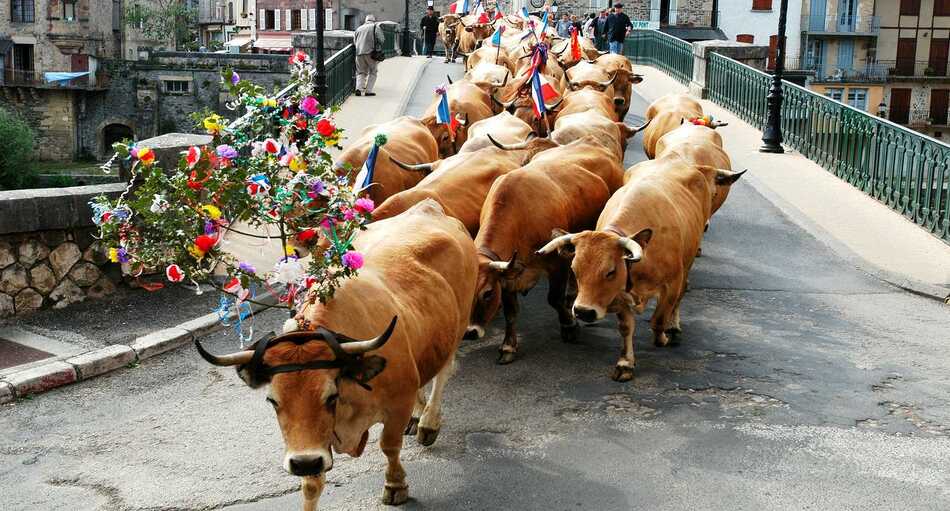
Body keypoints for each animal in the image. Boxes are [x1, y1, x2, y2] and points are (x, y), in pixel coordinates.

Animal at [195, 199, 476, 511]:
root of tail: (427, 207)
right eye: (272, 401)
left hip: (458, 323)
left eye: (331, 396)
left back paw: (428, 422)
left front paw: (395, 485)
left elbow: (389, 447)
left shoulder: (396, 405)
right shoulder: (312, 443)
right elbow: (311, 483)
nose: (303, 463)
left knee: (444, 372)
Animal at [466, 138, 624, 366]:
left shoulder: (557, 263)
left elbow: (554, 298)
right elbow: (511, 312)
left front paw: (569, 326)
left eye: (487, 293)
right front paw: (508, 347)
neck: (519, 219)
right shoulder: (508, 276)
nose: (469, 333)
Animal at [536, 158, 712, 382]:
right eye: (574, 270)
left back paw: (673, 326)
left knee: (682, 294)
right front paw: (625, 363)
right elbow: (626, 328)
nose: (583, 311)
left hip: (688, 262)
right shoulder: (619, 297)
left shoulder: (671, 284)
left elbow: (659, 319)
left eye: (610, 272)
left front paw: (662, 337)